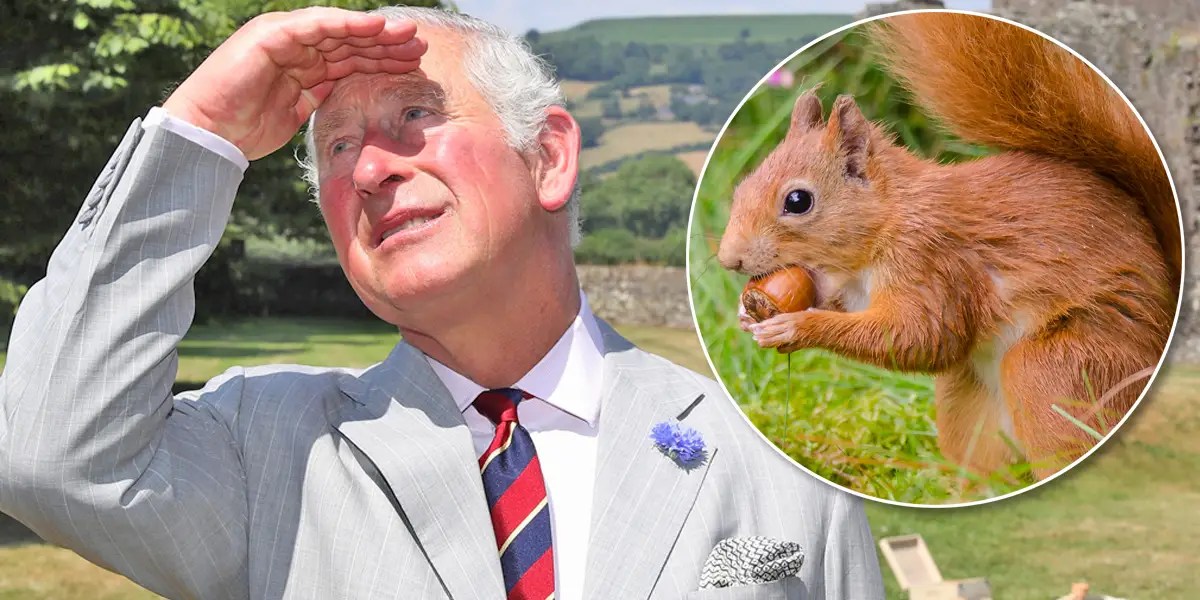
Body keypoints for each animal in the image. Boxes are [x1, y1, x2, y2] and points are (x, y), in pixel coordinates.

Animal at [716, 12, 1181, 479]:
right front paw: (746, 314)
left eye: (798, 201)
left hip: (1059, 369)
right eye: (742, 185)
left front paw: (797, 327)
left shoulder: (932, 261)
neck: (890, 220)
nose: (727, 259)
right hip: (966, 399)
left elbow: (919, 335)